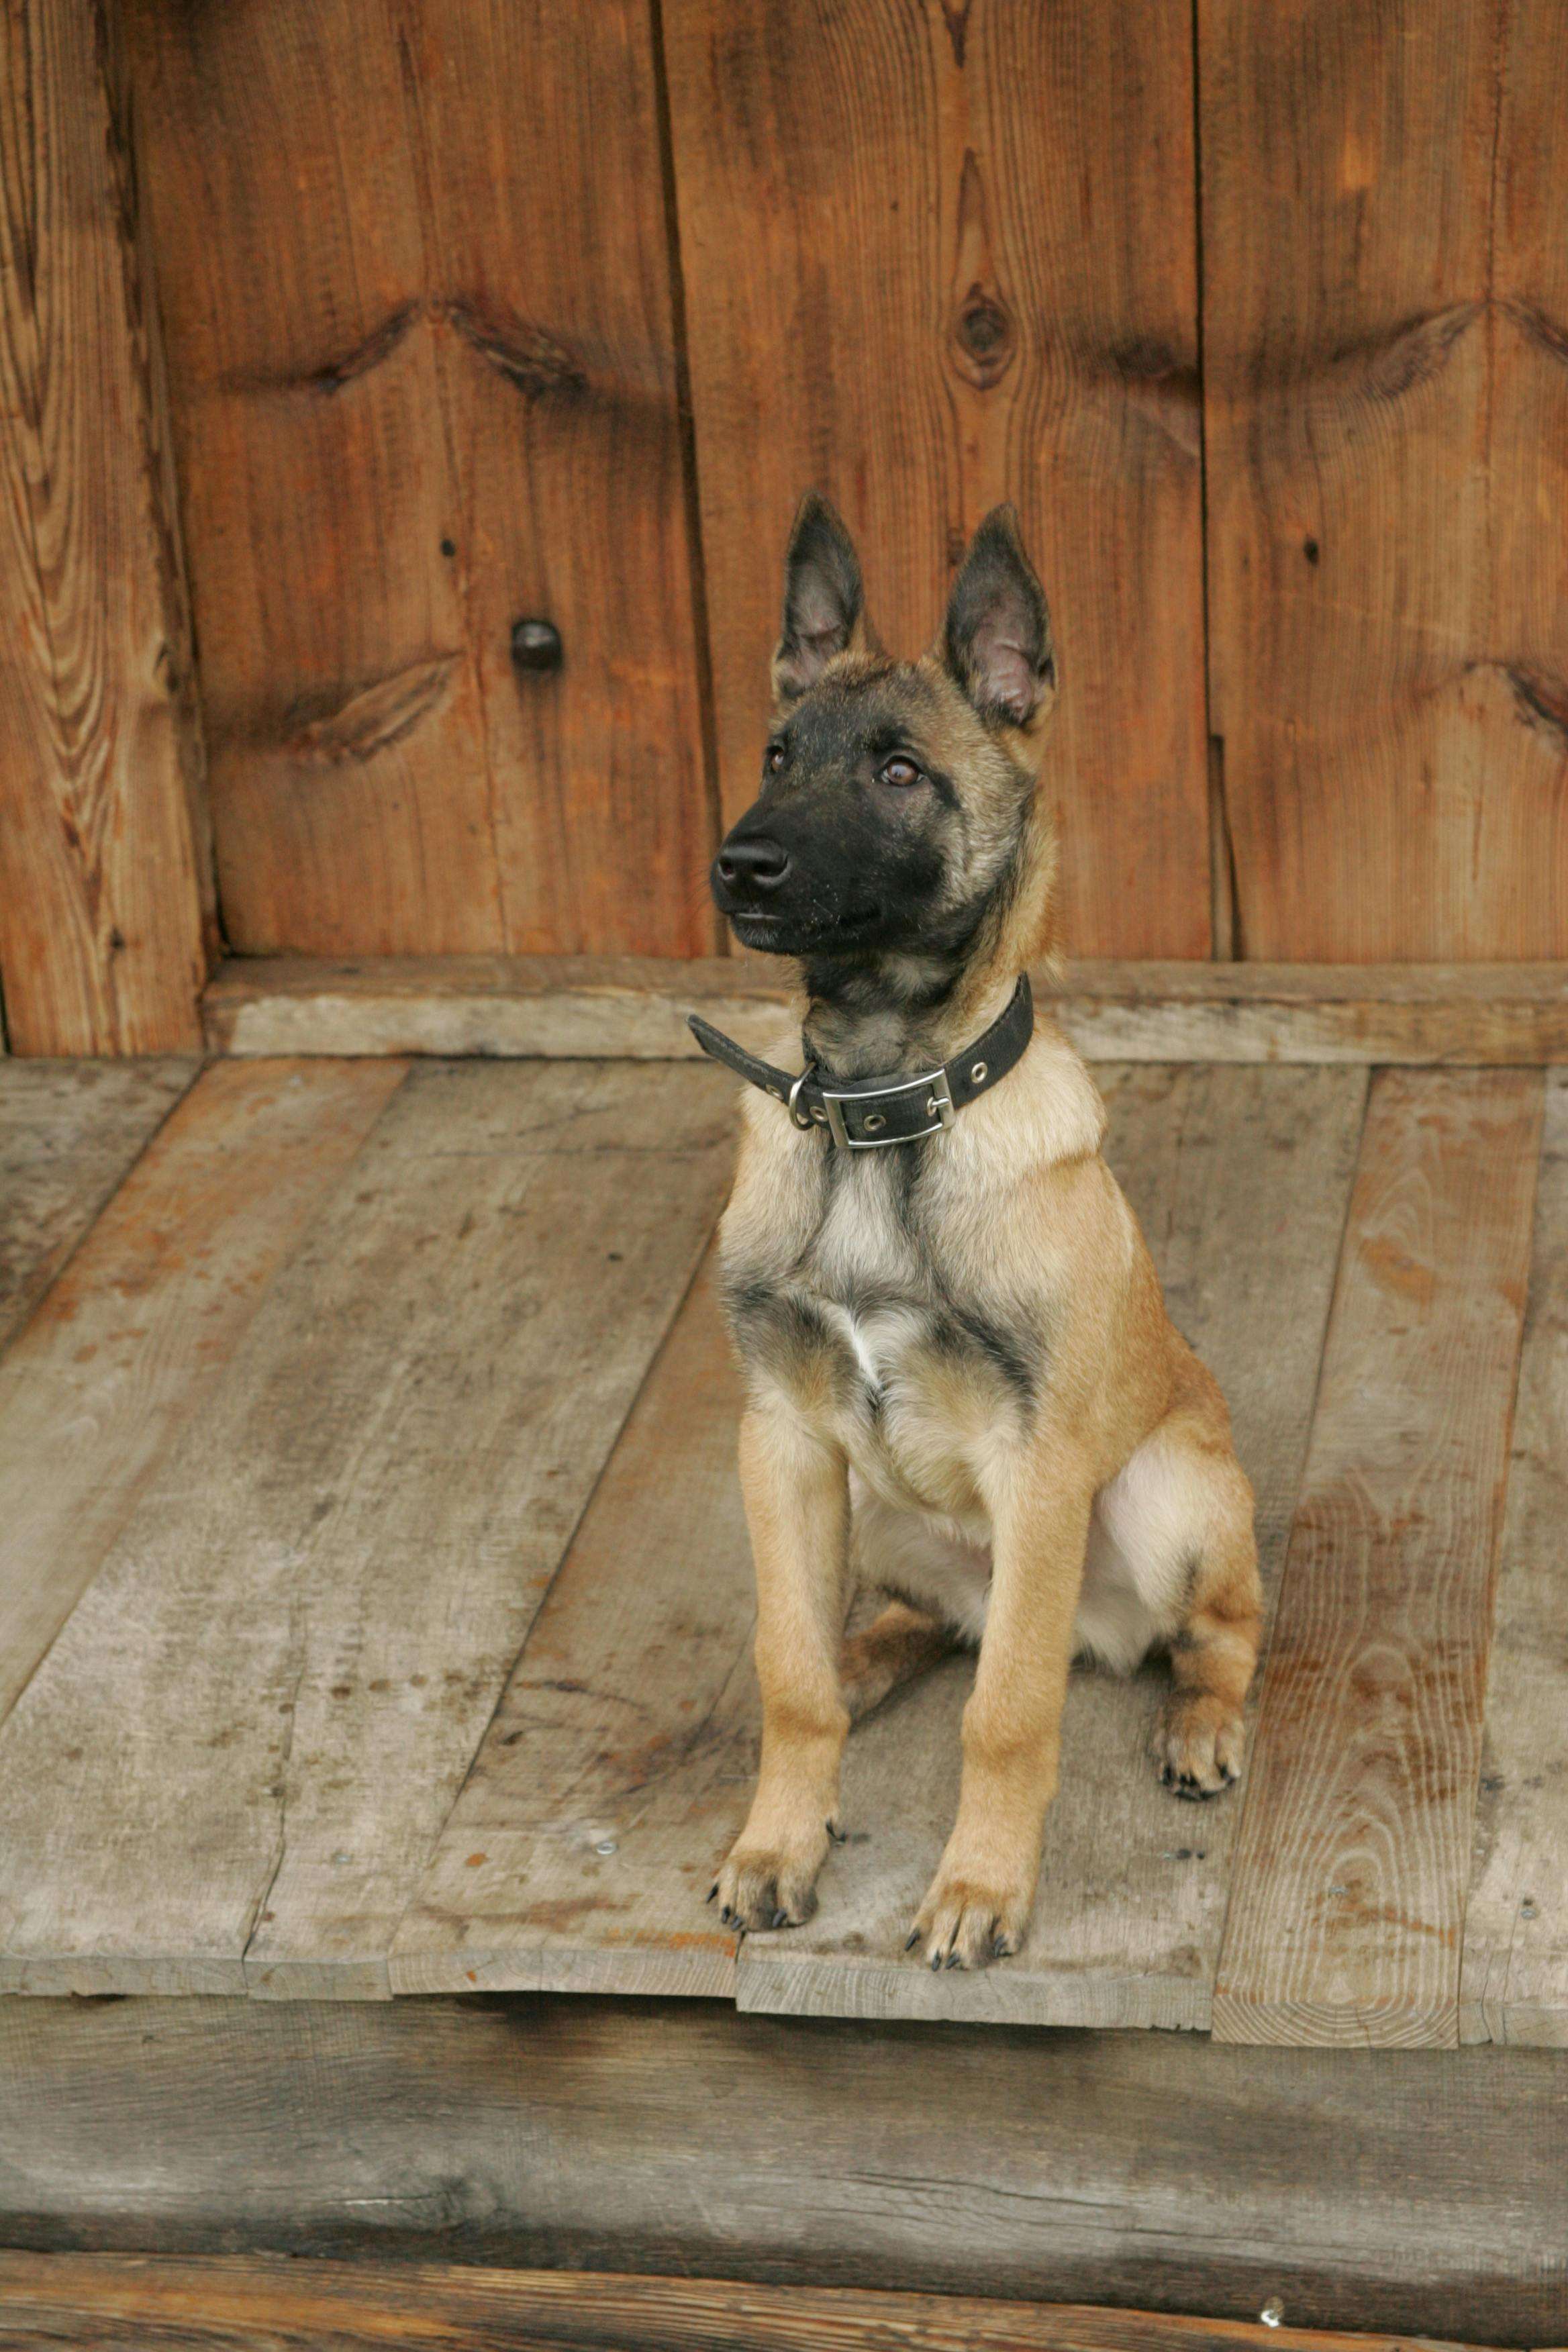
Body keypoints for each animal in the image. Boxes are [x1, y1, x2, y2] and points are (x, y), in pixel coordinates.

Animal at [691, 496, 1260, 1966]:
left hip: (1165, 1494)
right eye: (776, 756)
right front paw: (778, 1838)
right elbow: (786, 1672)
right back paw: (863, 1660)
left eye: (899, 772)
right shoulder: (777, 1439)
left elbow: (1006, 1716)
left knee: (1214, 1633)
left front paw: (979, 1889)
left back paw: (1199, 1725)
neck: (878, 1101)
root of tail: (1101, 1631)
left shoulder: (1038, 1463)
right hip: (868, 1499)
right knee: (916, 1626)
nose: (739, 863)